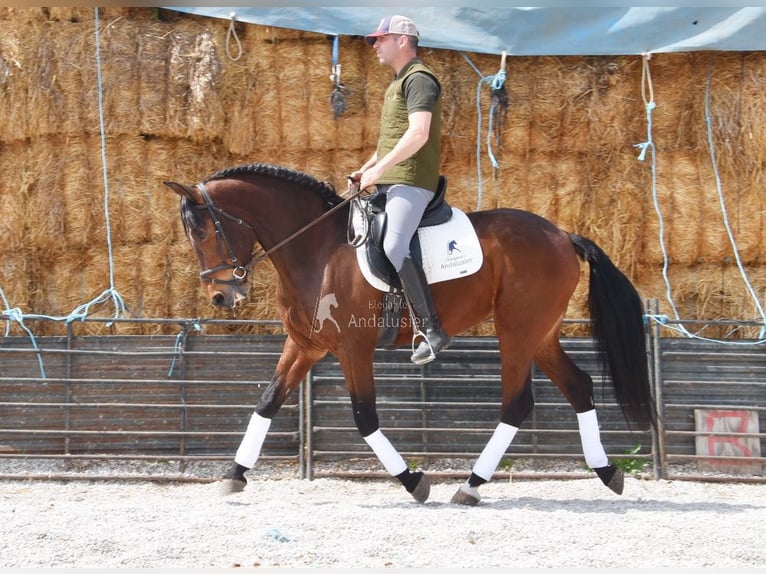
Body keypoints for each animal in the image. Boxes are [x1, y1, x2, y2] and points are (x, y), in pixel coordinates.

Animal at [164, 162, 656, 506]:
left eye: (203, 231)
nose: (221, 297)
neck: (317, 250)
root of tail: (562, 234)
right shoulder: (305, 345)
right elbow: (266, 402)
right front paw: (233, 475)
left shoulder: (353, 349)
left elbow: (365, 418)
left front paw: (414, 481)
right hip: (540, 333)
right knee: (579, 386)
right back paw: (608, 472)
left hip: (517, 331)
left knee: (517, 403)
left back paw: (471, 486)